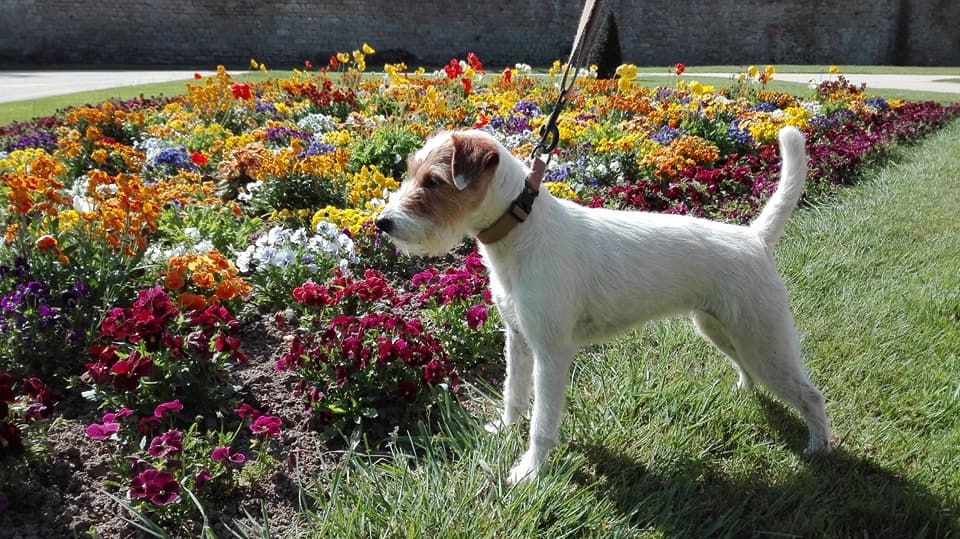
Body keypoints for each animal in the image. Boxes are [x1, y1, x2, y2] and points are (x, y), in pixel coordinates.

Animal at [376, 126, 832, 486]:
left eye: (434, 181)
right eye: (411, 170)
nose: (382, 223)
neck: (523, 232)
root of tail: (755, 237)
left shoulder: (551, 354)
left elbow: (542, 421)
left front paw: (529, 471)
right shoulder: (518, 341)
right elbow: (513, 395)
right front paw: (505, 430)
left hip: (764, 340)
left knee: (812, 396)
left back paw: (820, 451)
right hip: (721, 329)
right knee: (748, 368)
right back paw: (745, 392)